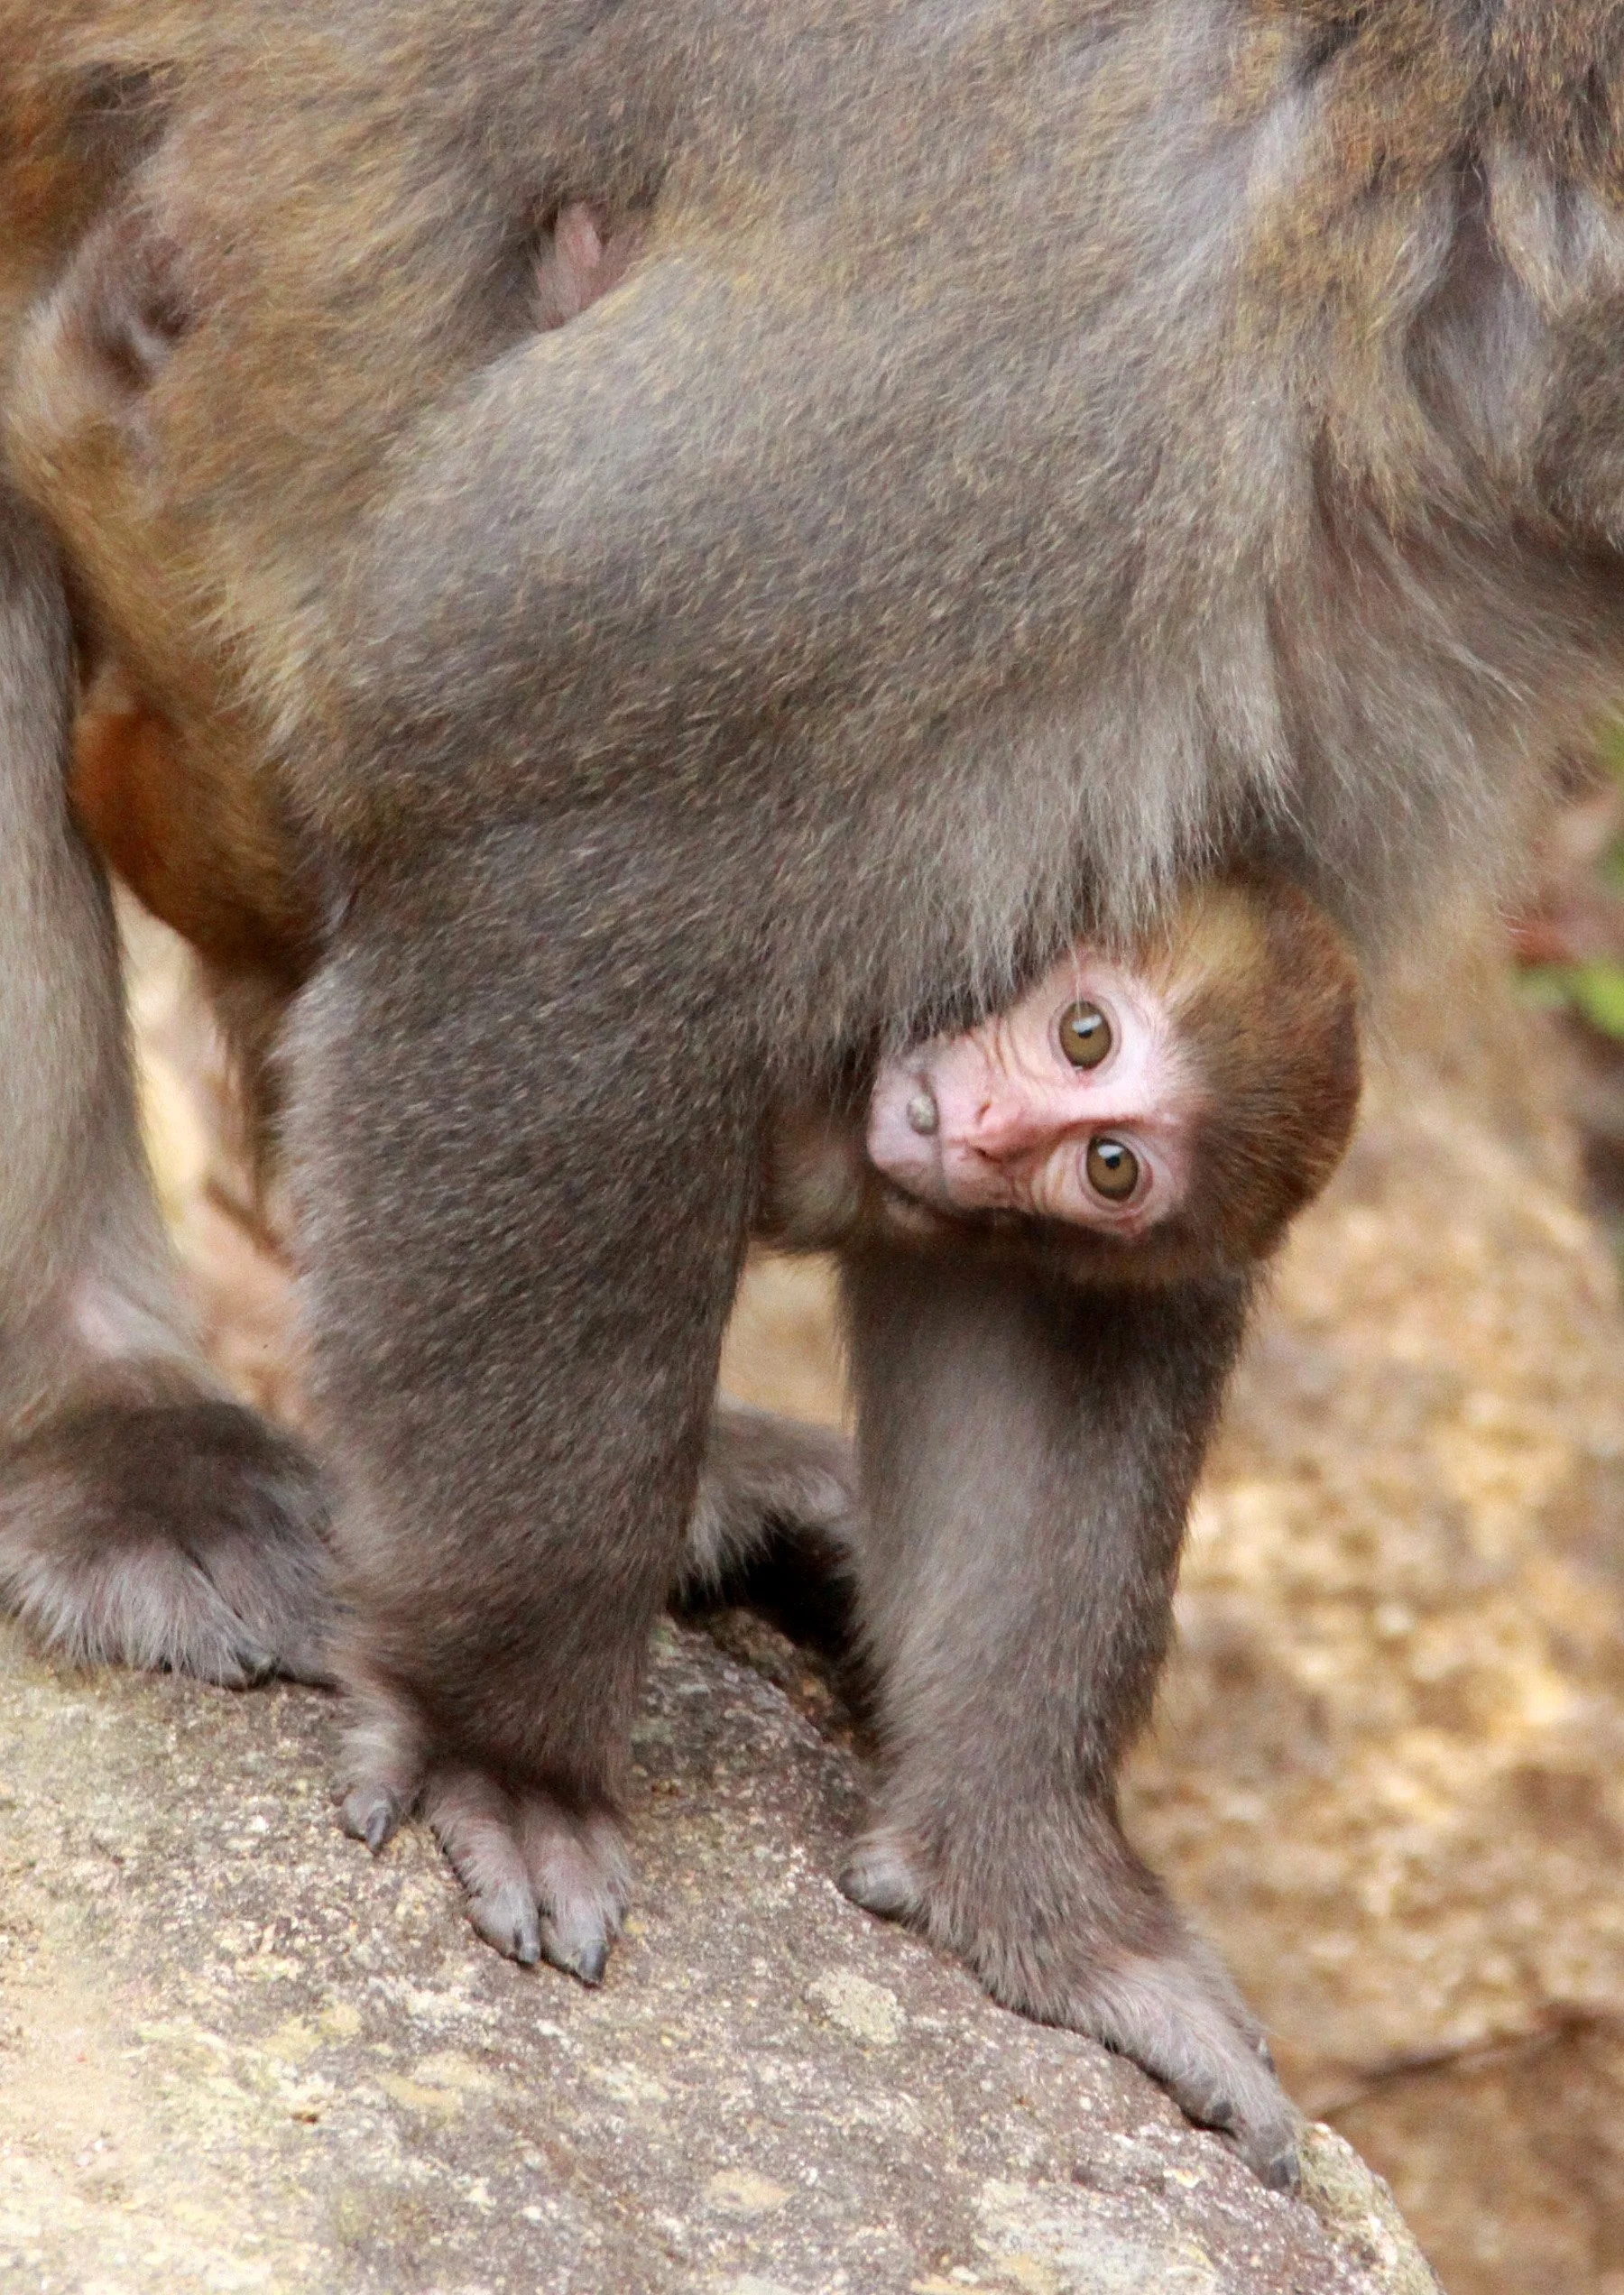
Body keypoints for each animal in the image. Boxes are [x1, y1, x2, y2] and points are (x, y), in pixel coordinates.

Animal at [4, 1, 1624, 2188]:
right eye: (1080, 1059)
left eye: (1107, 1135)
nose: (993, 1132)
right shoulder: (1038, 389)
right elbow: (553, 881)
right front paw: (507, 1744)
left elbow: (1079, 1263)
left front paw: (1036, 1881)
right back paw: (108, 1428)